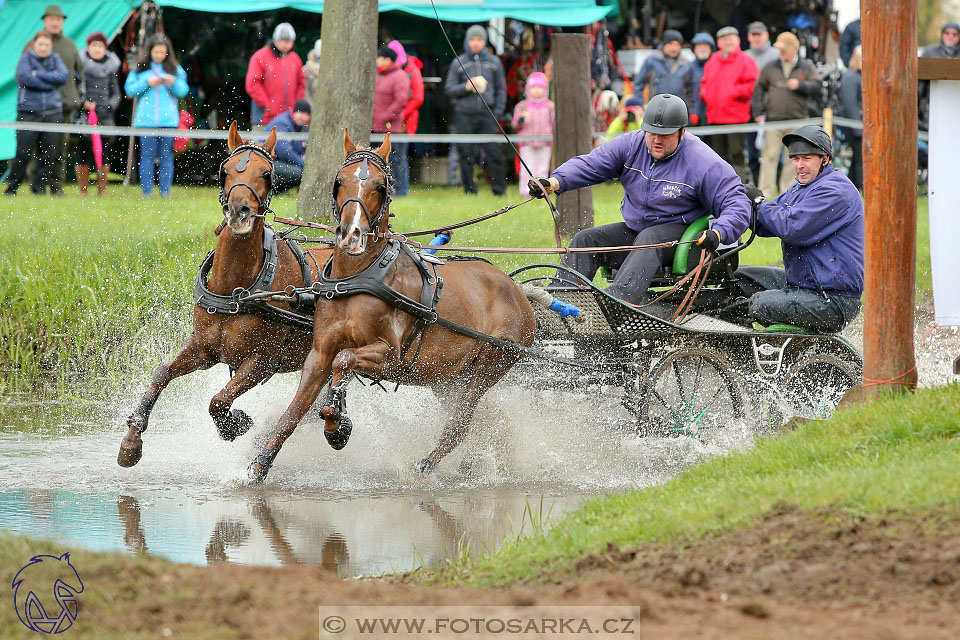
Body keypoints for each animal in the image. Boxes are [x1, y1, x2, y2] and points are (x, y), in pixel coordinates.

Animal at [118, 122, 330, 468]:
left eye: (267, 173)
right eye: (225, 171)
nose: (238, 211)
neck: (236, 288)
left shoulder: (262, 362)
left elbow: (218, 400)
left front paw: (235, 423)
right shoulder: (203, 347)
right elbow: (163, 372)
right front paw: (131, 440)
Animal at [249, 130, 540, 480]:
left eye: (379, 186)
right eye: (339, 181)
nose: (351, 234)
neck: (359, 277)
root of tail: (519, 292)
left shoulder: (389, 356)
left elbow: (343, 361)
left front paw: (337, 426)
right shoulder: (319, 353)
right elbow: (296, 408)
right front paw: (263, 461)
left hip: (492, 362)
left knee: (461, 423)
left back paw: (427, 465)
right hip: (448, 377)